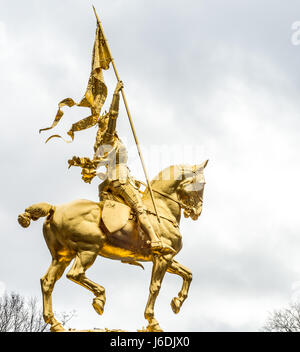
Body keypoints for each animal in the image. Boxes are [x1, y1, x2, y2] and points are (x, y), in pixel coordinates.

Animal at [17, 161, 207, 332]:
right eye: (203, 183)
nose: (197, 212)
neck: (161, 209)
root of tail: (54, 208)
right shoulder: (162, 257)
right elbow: (155, 287)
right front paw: (153, 321)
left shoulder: (166, 258)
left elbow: (188, 274)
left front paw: (177, 302)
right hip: (89, 249)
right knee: (75, 274)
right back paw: (99, 298)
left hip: (62, 256)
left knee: (48, 282)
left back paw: (55, 323)